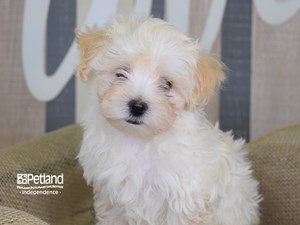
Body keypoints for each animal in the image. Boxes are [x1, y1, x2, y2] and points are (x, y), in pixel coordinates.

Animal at [75, 16, 260, 225]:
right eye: (121, 73)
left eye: (167, 84)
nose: (137, 106)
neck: (139, 140)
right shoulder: (111, 197)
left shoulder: (184, 199)